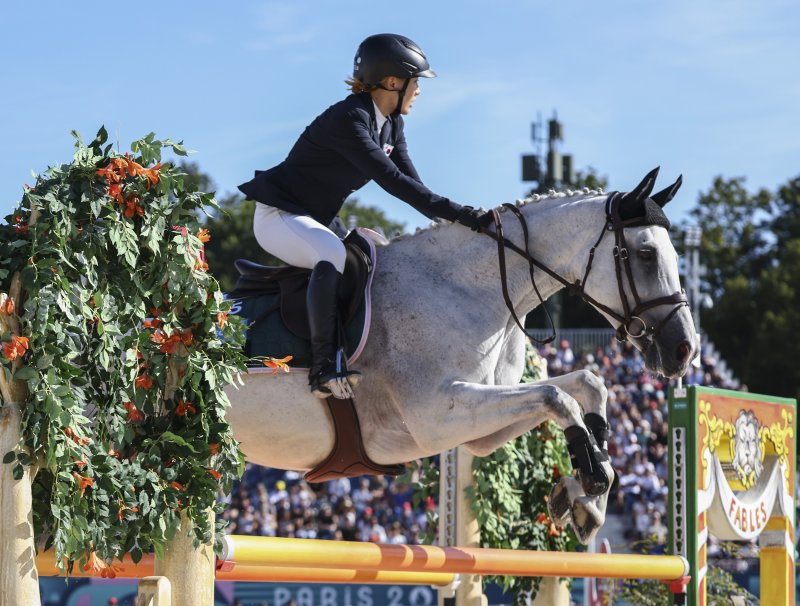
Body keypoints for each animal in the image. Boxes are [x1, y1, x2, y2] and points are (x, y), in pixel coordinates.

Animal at [223, 169, 692, 544]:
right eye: (646, 254)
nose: (684, 349)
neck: (468, 289)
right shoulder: (437, 416)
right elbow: (557, 398)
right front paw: (591, 477)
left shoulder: (477, 428)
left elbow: (586, 385)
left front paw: (587, 496)